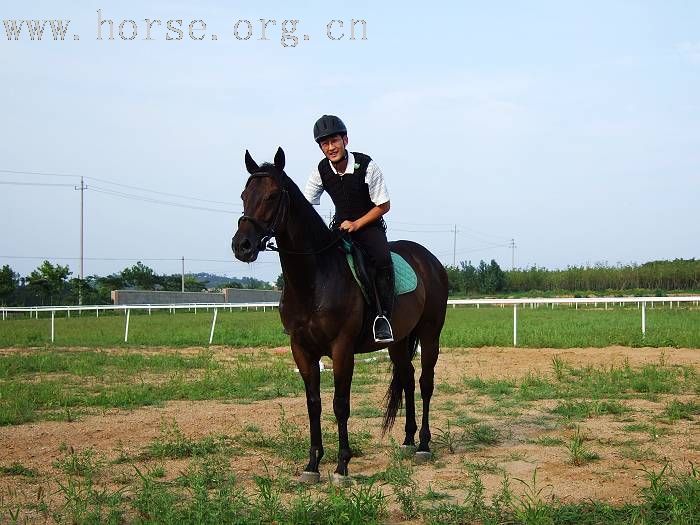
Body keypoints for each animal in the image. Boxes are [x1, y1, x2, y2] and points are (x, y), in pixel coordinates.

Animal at [231, 147, 448, 484]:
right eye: (244, 195)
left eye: (272, 195)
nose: (242, 246)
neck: (315, 277)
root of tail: (430, 260)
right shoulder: (301, 350)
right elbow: (314, 404)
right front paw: (312, 464)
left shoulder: (342, 348)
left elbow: (340, 404)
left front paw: (342, 465)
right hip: (398, 341)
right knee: (408, 378)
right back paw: (408, 440)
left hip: (430, 333)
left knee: (425, 382)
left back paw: (424, 444)